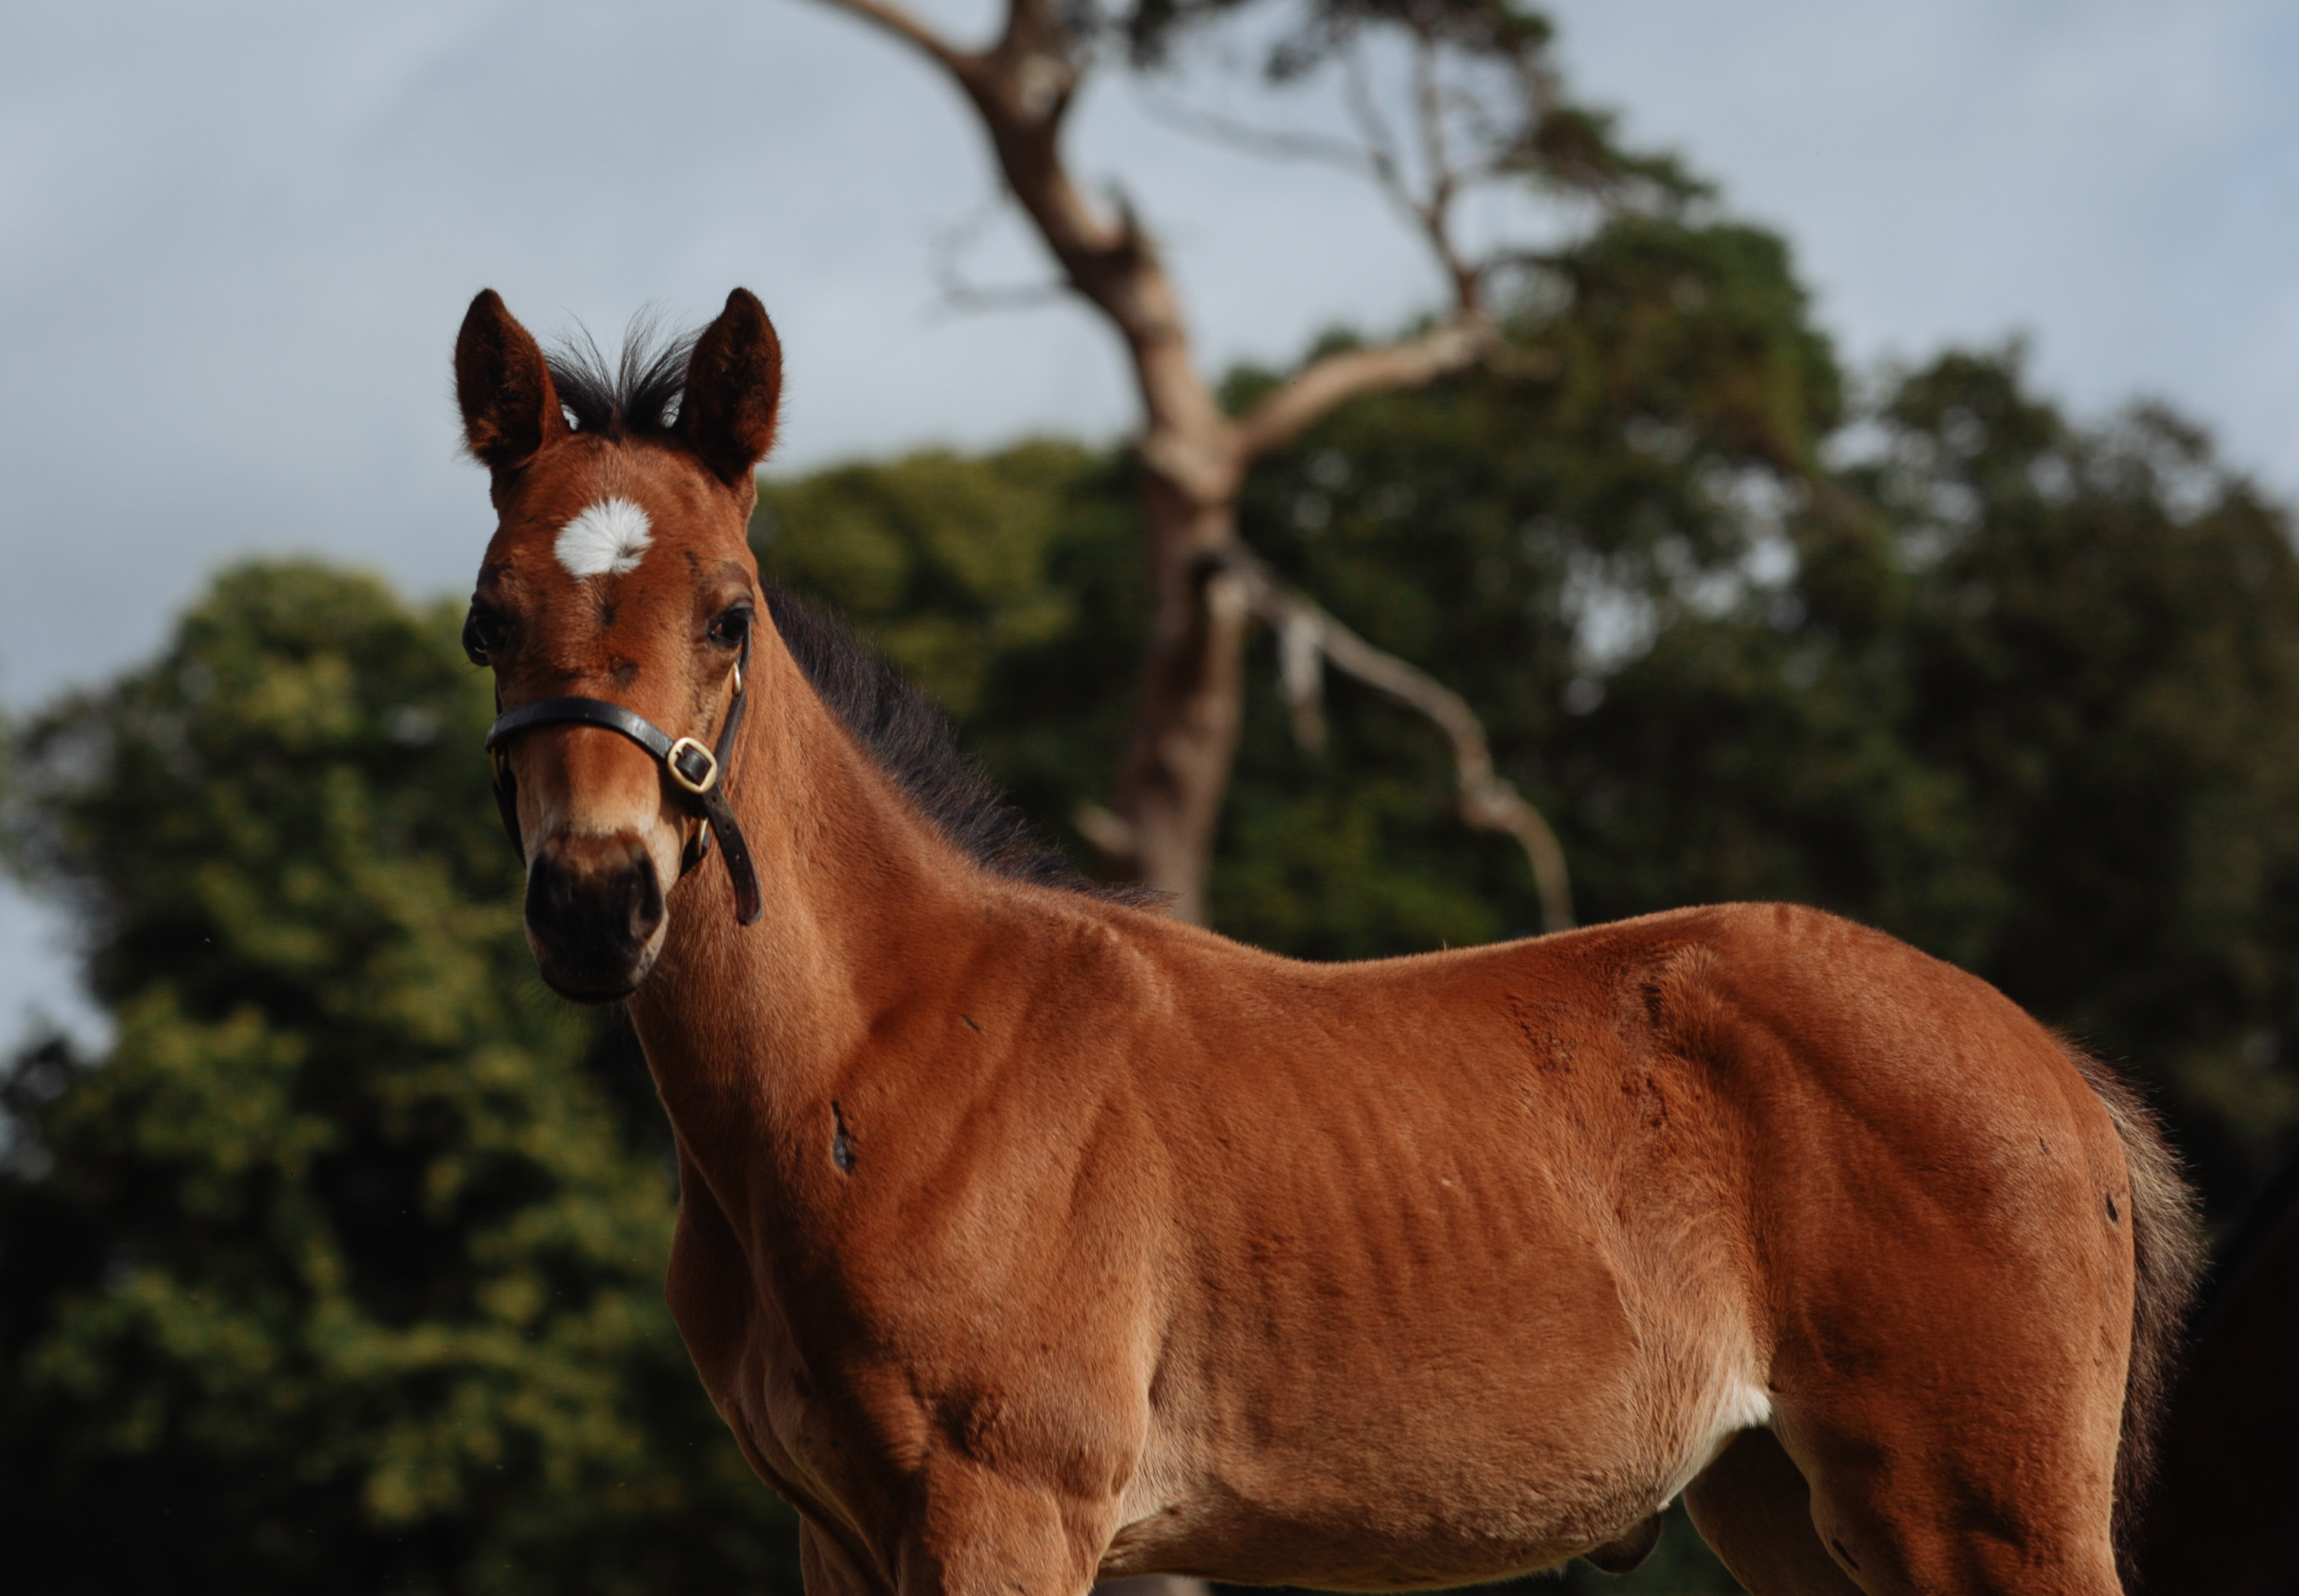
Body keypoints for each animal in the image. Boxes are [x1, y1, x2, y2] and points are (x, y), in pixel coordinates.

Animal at [448, 290, 2188, 1596]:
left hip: (1983, 1513)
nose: (595, 901)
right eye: (487, 619)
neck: (877, 1056)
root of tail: (2054, 1071)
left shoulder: (1002, 1506)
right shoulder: (836, 1537)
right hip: (1789, 1510)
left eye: (729, 611)